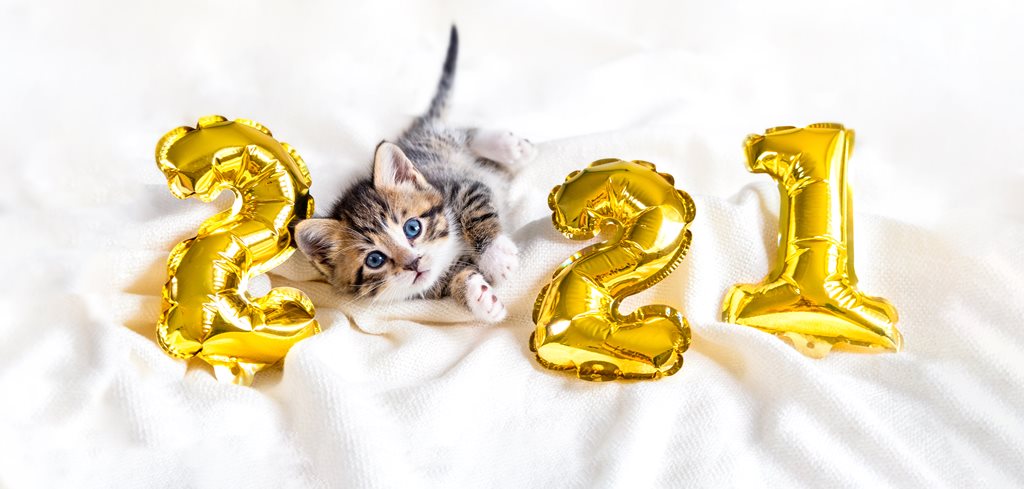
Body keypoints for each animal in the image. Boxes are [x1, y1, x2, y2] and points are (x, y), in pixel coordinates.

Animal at [296, 27, 536, 325]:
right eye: (375, 260)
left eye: (413, 228)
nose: (413, 263)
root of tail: (415, 133)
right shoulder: (437, 279)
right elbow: (452, 279)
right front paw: (479, 298)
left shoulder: (459, 186)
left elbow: (476, 210)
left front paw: (495, 257)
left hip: (439, 149)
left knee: (465, 134)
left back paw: (510, 146)